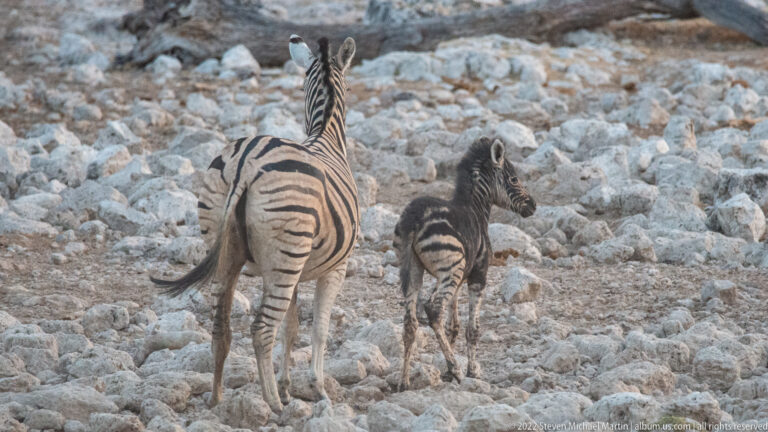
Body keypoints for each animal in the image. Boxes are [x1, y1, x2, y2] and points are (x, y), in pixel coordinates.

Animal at [151, 35, 359, 413]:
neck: (325, 136)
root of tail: (245, 162)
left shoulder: (293, 270)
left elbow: (292, 327)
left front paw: (288, 387)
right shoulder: (335, 267)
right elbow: (318, 329)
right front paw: (316, 389)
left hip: (231, 252)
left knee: (222, 327)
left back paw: (217, 398)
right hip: (285, 255)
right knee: (262, 329)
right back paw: (274, 405)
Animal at [393, 137, 536, 390]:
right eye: (514, 179)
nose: (534, 206)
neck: (476, 209)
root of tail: (414, 218)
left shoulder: (460, 278)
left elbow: (454, 327)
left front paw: (446, 369)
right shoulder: (478, 275)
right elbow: (472, 329)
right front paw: (470, 371)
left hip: (414, 270)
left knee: (410, 323)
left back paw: (404, 381)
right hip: (449, 272)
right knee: (434, 310)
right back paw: (456, 370)